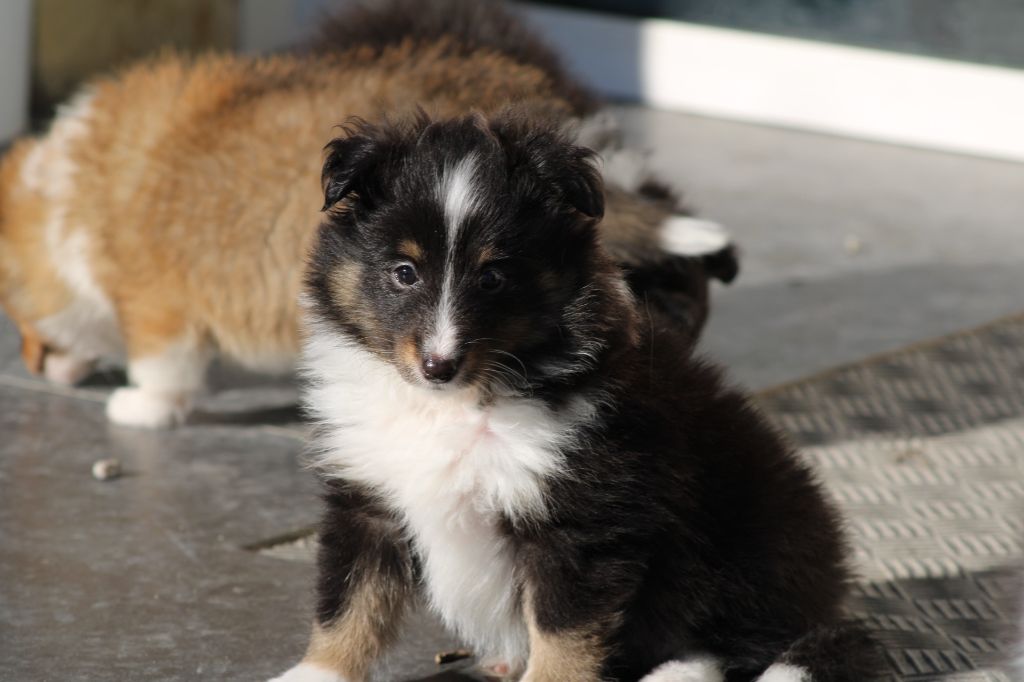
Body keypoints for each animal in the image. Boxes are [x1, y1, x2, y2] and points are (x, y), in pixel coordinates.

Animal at [2, 0, 737, 425]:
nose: (32, 367)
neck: (74, 197)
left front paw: (139, 407)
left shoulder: (157, 302)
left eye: (20, 317)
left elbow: (162, 370)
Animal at [276, 111, 876, 679]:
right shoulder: (367, 498)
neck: (456, 402)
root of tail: (827, 587)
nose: (438, 367)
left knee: (745, 641)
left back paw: (677, 675)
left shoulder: (580, 521)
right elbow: (349, 603)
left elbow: (564, 633)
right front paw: (317, 672)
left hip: (742, 537)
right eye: (404, 272)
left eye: (492, 278)